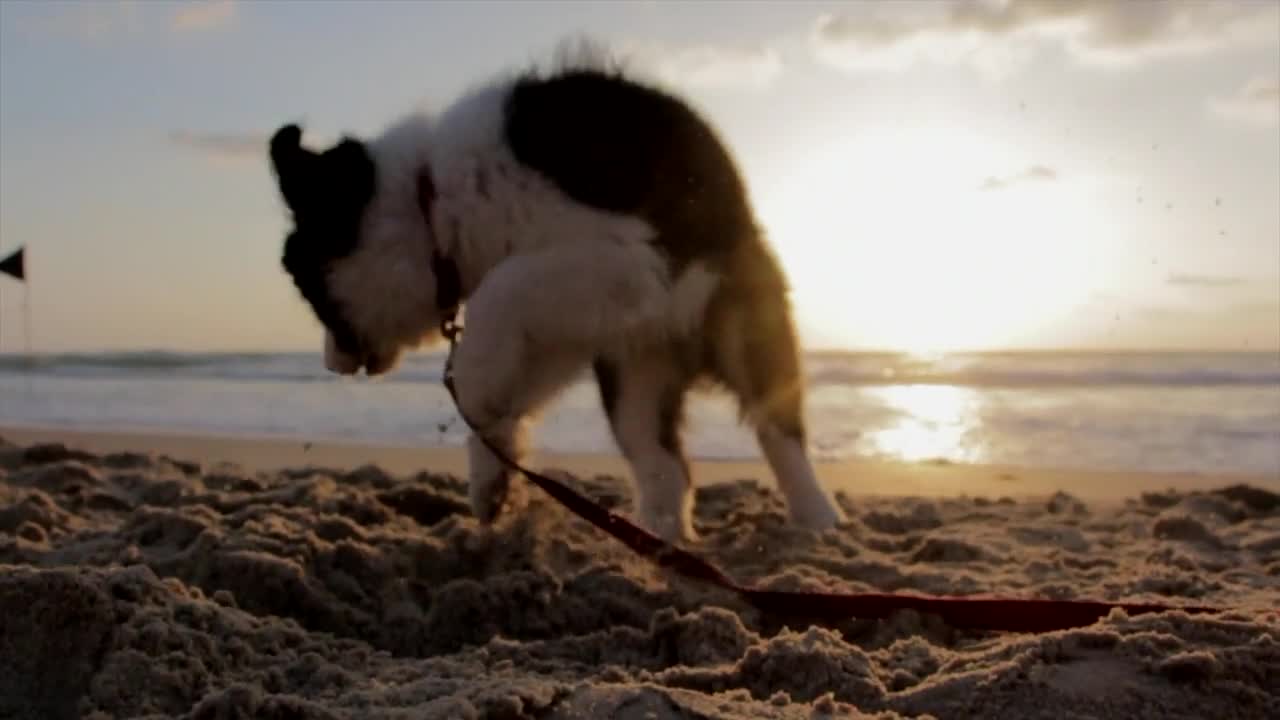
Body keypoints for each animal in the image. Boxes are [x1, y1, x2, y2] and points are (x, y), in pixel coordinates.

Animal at [268, 53, 844, 540]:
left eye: (303, 283)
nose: (331, 363)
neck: (432, 201)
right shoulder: (576, 321)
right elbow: (513, 384)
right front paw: (491, 472)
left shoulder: (634, 259)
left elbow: (497, 295)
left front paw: (473, 395)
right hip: (635, 375)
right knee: (664, 464)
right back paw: (662, 543)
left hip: (739, 325)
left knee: (778, 430)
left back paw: (817, 519)